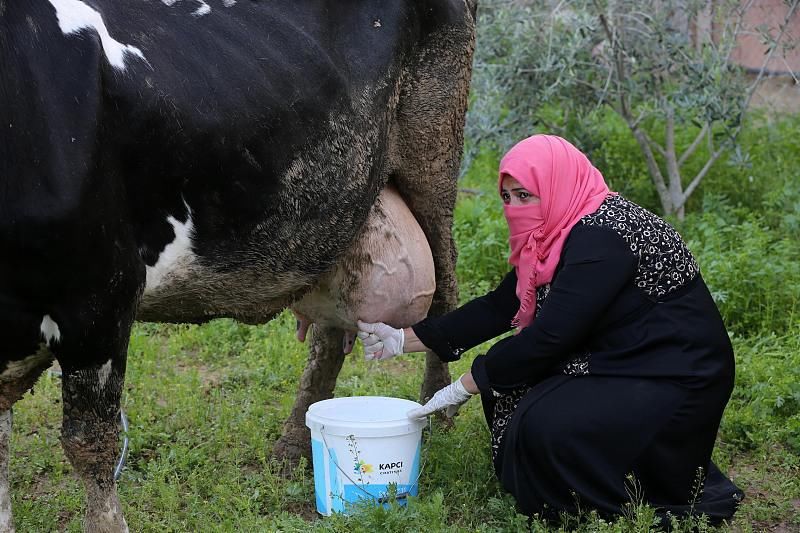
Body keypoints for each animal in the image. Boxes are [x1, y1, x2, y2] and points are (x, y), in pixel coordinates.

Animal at [0, 1, 476, 528]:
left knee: (446, 290)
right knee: (331, 333)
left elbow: (90, 445)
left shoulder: (100, 299)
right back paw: (294, 444)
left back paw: (435, 414)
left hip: (432, 151)